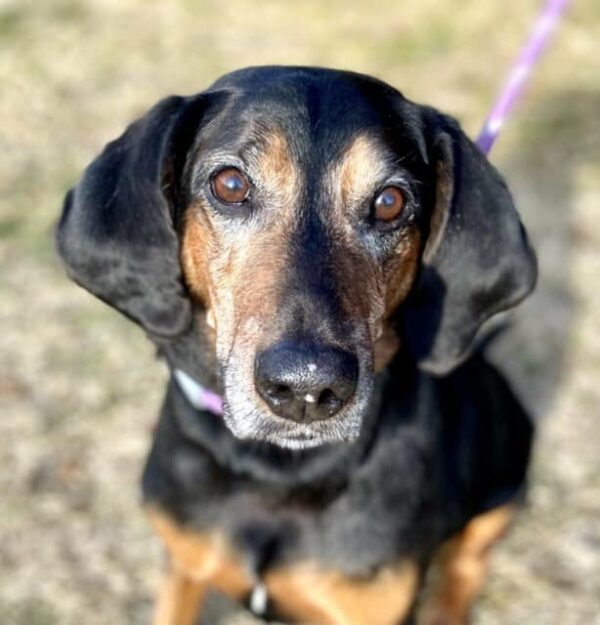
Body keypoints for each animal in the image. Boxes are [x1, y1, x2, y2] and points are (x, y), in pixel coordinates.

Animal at [55, 67, 536, 624]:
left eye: (390, 202)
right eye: (230, 184)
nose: (307, 388)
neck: (276, 471)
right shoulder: (184, 562)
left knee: (466, 565)